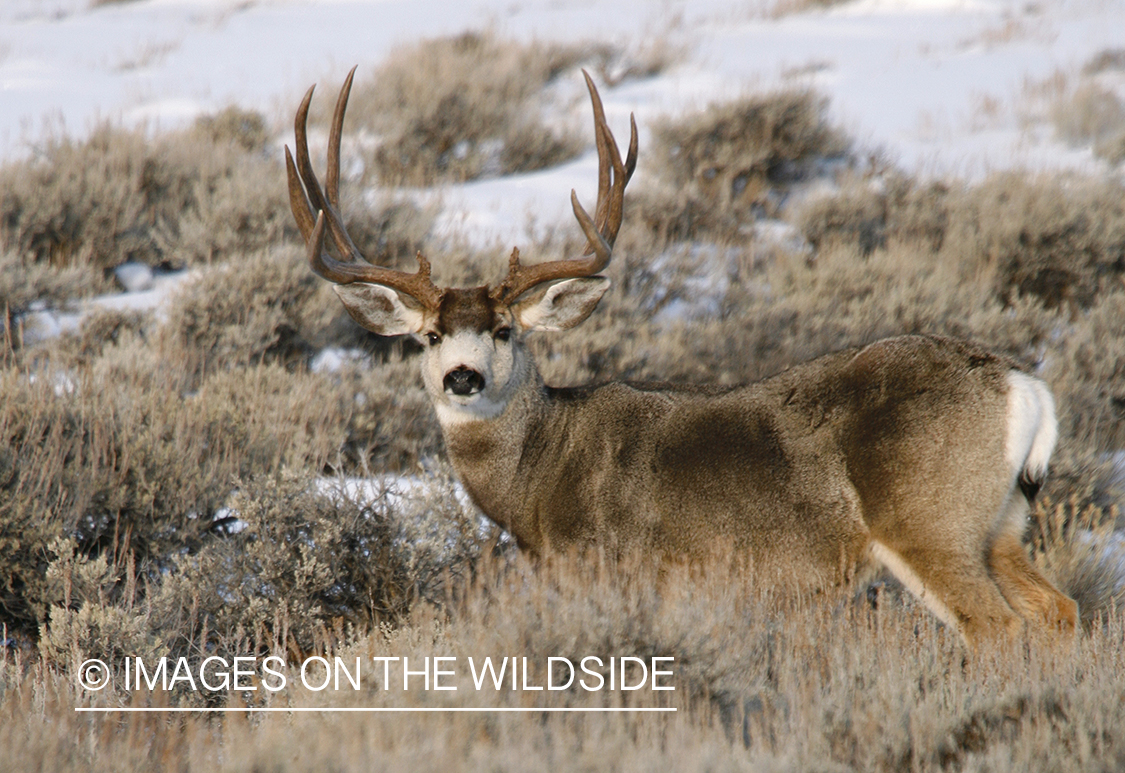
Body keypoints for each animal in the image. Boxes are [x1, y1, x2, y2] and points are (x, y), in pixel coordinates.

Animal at [284, 68, 1078, 648]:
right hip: (1000, 523)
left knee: (999, 629)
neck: (540, 477)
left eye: (507, 329)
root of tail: (1023, 386)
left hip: (929, 519)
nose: (462, 375)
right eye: (427, 336)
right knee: (1057, 611)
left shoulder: (619, 573)